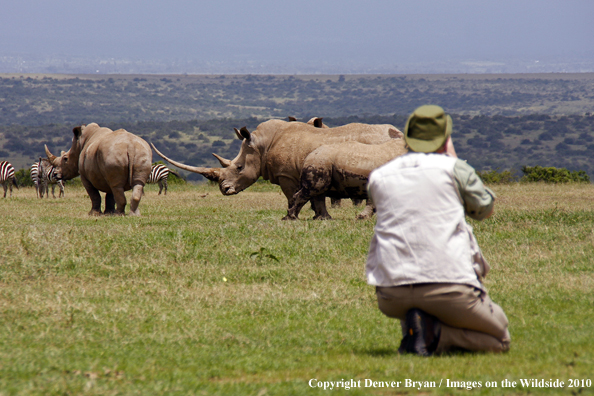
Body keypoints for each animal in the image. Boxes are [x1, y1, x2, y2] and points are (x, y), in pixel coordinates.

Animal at [151, 117, 402, 220]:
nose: (224, 190)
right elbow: (317, 197)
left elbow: (293, 196)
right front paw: (321, 218)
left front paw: (294, 216)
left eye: (239, 167)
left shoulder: (287, 175)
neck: (261, 145)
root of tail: (398, 133)